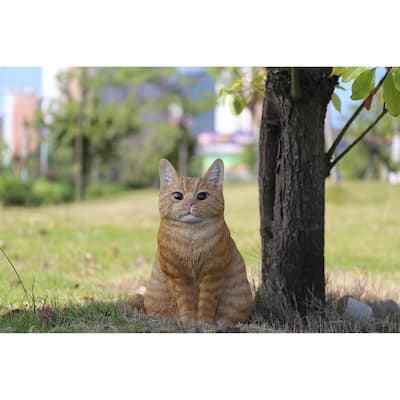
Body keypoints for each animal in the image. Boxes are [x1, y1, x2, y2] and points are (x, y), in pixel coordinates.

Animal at [142, 157, 252, 324]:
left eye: (202, 196)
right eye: (177, 195)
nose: (189, 204)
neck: (191, 236)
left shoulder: (213, 273)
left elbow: (206, 303)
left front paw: (204, 323)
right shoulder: (178, 275)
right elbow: (186, 302)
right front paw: (188, 321)